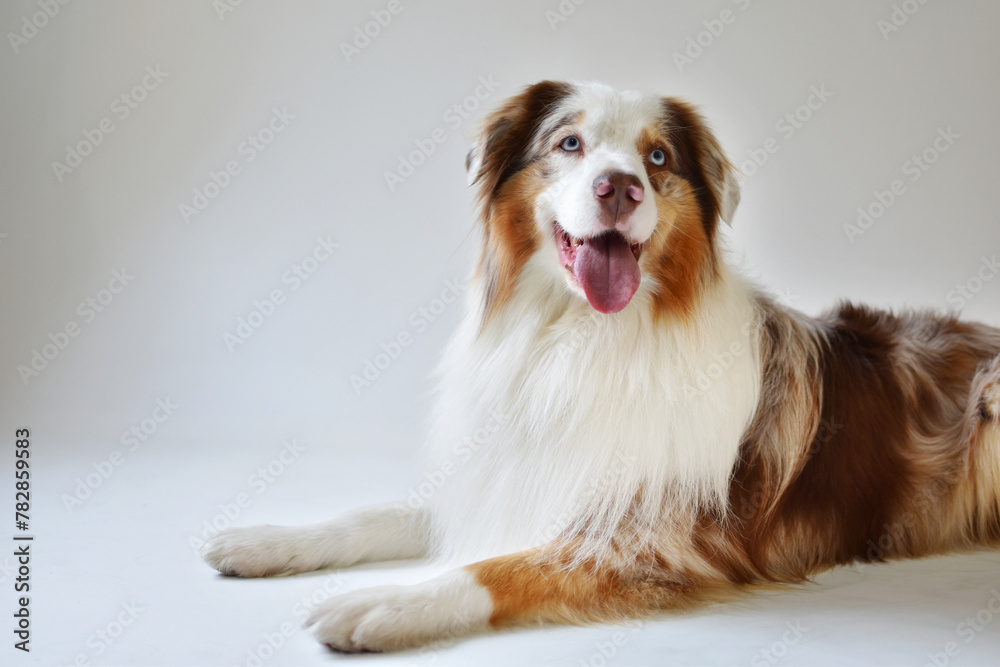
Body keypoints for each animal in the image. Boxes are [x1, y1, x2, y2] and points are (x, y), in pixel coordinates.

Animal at [201, 82, 1000, 652]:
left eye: (658, 158)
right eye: (569, 142)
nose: (619, 186)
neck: (579, 335)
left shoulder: (659, 537)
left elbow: (496, 568)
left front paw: (387, 600)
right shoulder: (514, 474)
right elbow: (374, 513)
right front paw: (268, 540)